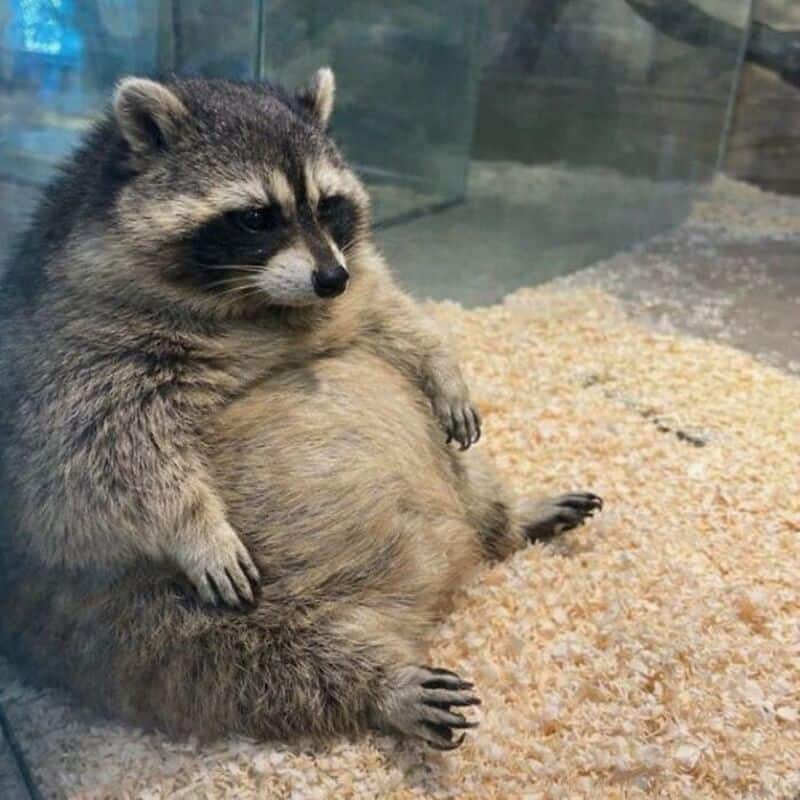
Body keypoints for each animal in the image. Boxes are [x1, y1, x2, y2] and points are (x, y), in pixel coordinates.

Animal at [0, 70, 602, 749]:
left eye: (328, 204)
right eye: (256, 218)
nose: (330, 279)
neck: (262, 304)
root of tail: (445, 575)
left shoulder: (359, 282)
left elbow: (397, 317)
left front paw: (443, 367)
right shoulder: (74, 350)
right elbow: (95, 450)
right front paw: (195, 527)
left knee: (468, 477)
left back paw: (509, 516)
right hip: (136, 615)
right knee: (243, 661)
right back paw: (379, 683)